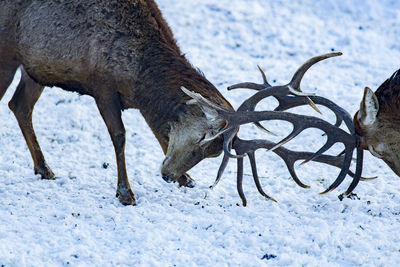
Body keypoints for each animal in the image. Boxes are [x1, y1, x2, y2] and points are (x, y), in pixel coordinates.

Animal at [0, 0, 362, 207]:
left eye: (212, 152)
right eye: (203, 138)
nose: (169, 174)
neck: (138, 78)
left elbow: (156, 132)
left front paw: (186, 179)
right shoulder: (102, 84)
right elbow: (120, 136)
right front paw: (125, 193)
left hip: (34, 67)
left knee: (19, 105)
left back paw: (44, 168)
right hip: (8, 51)